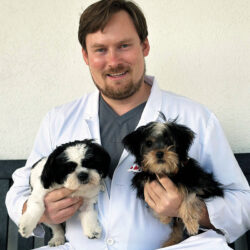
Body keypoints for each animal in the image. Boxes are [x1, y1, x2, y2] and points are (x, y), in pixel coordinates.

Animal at [122, 115, 223, 248]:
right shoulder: (144, 183)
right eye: (149, 143)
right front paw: (164, 217)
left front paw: (191, 223)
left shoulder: (200, 184)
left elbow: (189, 196)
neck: (166, 172)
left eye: (169, 143)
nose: (159, 153)